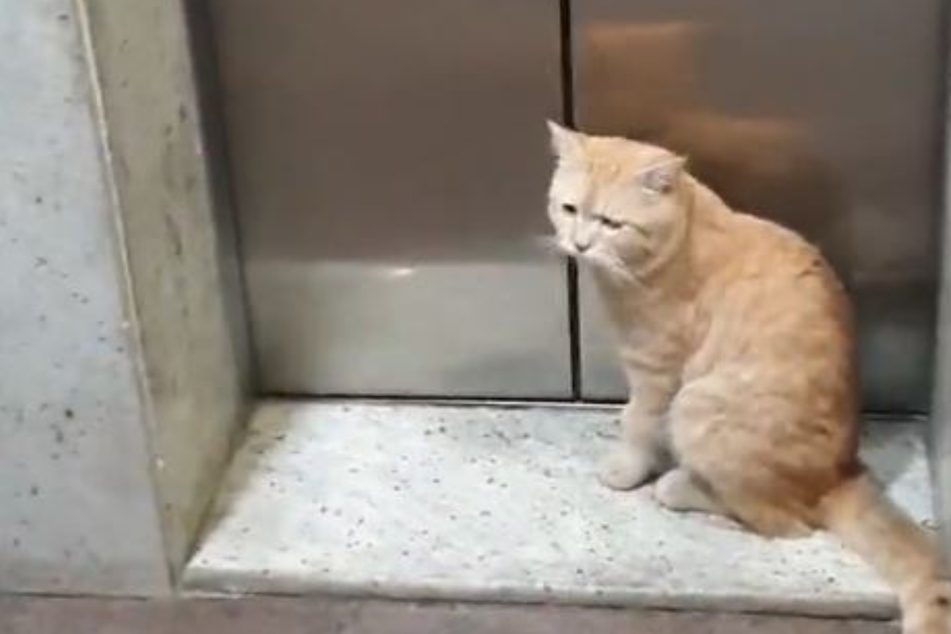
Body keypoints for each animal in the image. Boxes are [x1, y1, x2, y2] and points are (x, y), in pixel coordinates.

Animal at [548, 119, 948, 632]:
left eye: (612, 224)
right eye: (570, 209)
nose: (579, 244)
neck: (679, 236)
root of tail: (839, 473)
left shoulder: (657, 370)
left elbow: (639, 422)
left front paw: (627, 466)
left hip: (697, 405)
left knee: (782, 521)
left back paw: (681, 486)